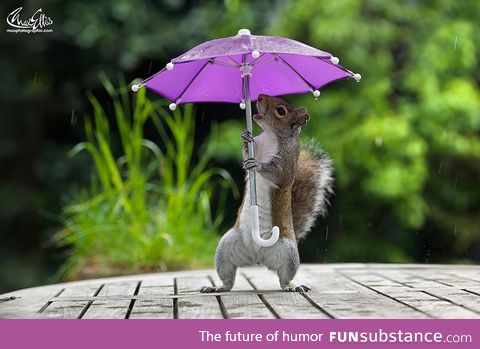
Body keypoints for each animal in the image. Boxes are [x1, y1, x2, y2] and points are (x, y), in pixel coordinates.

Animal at [201, 94, 332, 292]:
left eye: (281, 111)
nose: (260, 96)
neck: (271, 135)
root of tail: (257, 258)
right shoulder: (257, 147)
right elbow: (245, 155)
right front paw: (245, 137)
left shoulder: (286, 164)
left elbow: (276, 174)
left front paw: (258, 165)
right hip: (226, 247)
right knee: (228, 279)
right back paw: (217, 287)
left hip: (287, 252)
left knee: (284, 278)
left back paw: (292, 286)